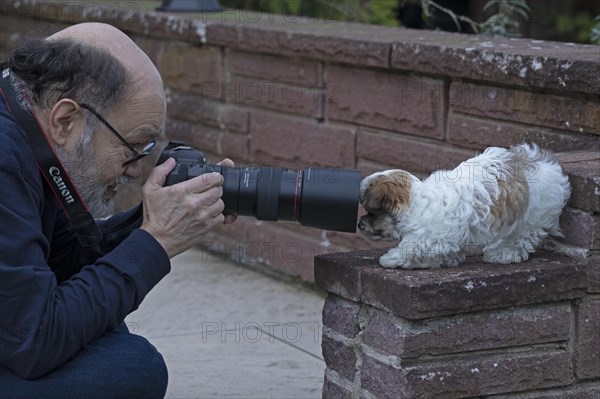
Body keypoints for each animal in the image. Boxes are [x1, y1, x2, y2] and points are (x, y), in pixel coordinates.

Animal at [358, 144, 568, 268]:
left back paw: (502, 253)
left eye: (371, 212)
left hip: (532, 217)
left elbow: (411, 246)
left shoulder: (430, 236)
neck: (417, 202)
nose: (360, 224)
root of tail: (545, 165)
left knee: (520, 238)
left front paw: (390, 258)